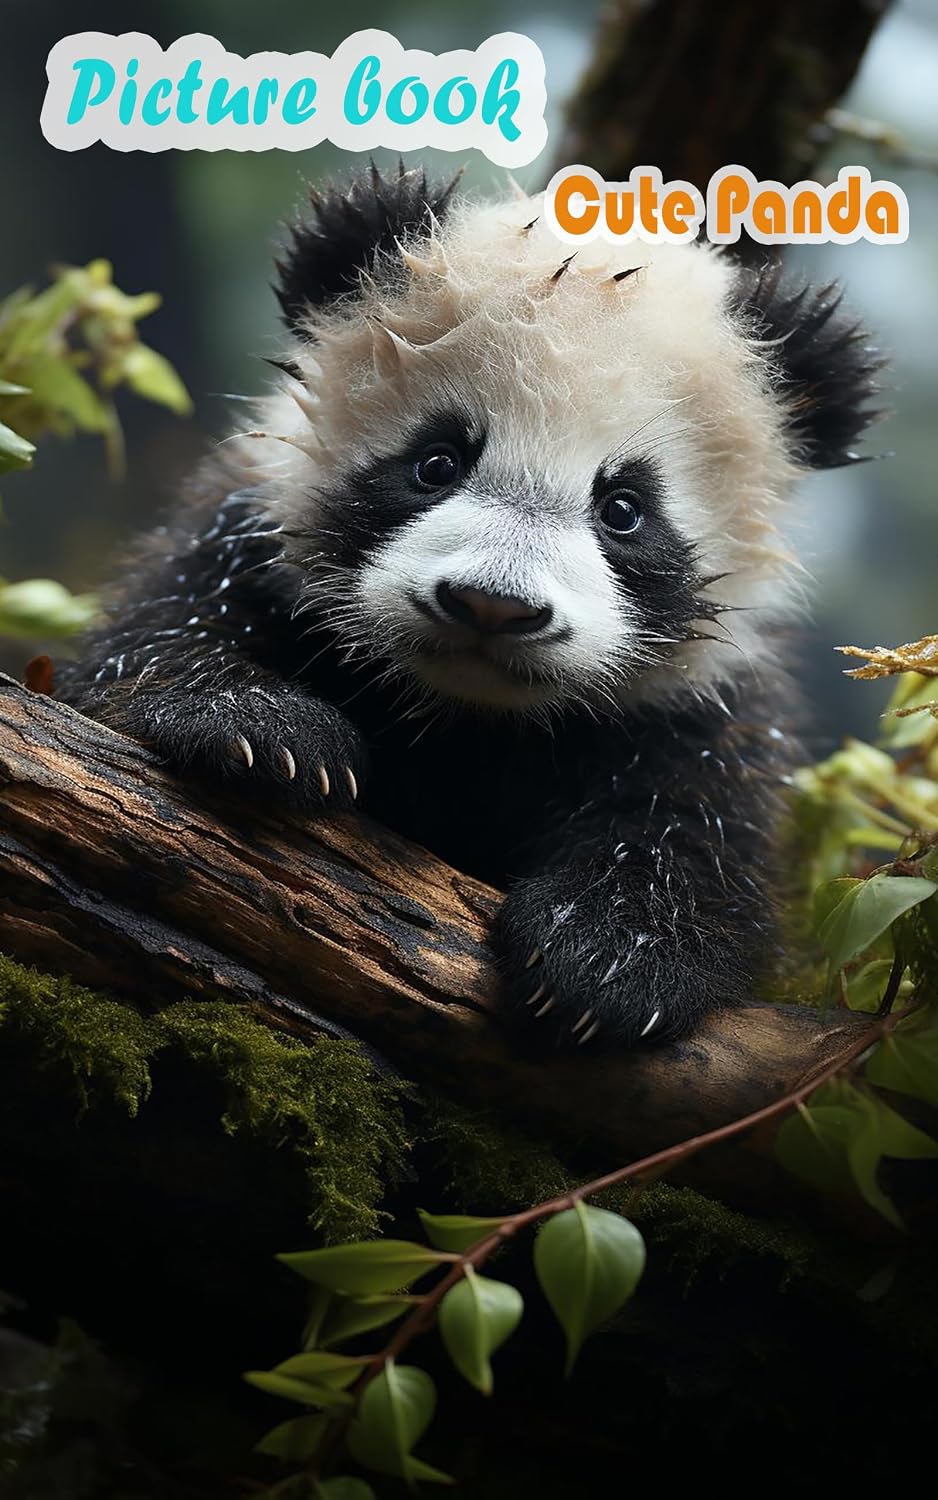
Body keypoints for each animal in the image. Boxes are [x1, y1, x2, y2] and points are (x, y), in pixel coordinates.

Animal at [57, 163, 882, 1049]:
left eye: (624, 509)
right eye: (437, 462)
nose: (493, 607)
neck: (461, 718)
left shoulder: (706, 698)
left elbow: (704, 821)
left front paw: (610, 956)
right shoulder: (241, 541)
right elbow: (154, 637)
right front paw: (262, 730)